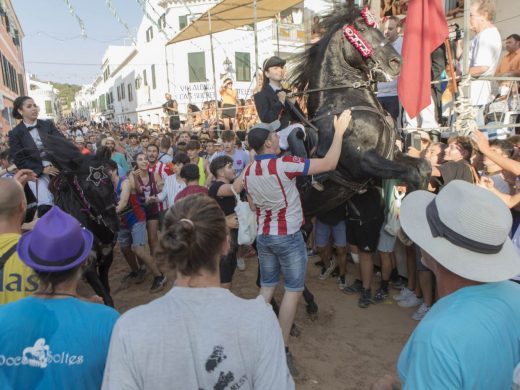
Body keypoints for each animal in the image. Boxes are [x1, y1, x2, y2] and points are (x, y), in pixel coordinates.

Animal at [43, 135, 119, 308]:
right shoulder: (88, 265)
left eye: (109, 180)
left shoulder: (107, 257)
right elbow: (106, 297)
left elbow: (106, 290)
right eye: (87, 188)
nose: (112, 221)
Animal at [292, 3, 430, 216]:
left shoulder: (392, 154)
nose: (396, 62)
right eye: (362, 29)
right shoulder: (362, 161)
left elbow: (423, 167)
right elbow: (412, 174)